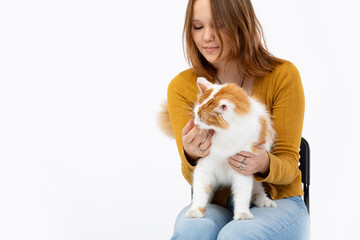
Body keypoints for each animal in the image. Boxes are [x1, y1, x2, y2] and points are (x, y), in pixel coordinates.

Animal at [159, 77, 278, 221]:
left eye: (202, 118)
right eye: (195, 115)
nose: (196, 124)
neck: (224, 136)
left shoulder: (243, 169)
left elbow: (242, 195)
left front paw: (242, 214)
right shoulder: (205, 167)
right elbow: (200, 193)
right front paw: (195, 211)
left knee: (257, 189)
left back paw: (265, 202)